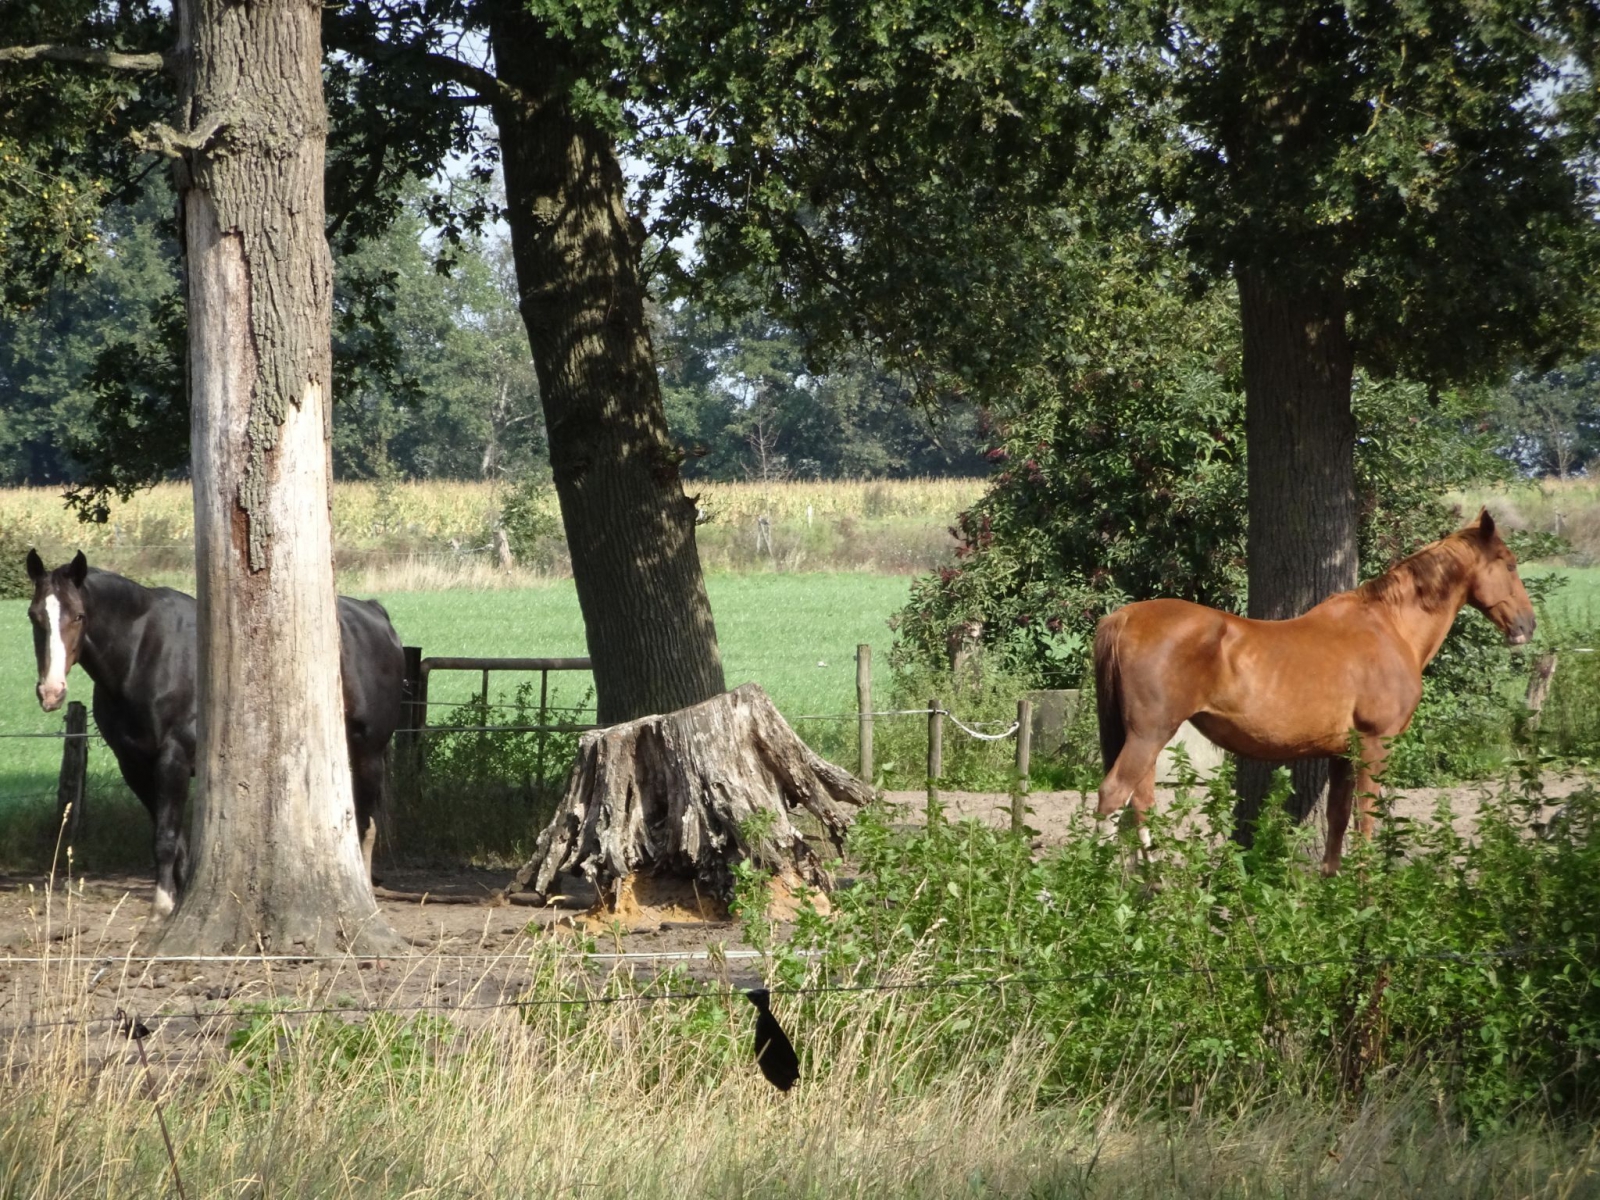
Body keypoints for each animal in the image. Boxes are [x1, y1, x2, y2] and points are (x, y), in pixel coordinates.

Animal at [24, 550, 405, 915]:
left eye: (78, 616)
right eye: (34, 616)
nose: (51, 691)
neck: (142, 655)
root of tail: (375, 615)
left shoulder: (173, 759)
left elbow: (165, 838)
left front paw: (160, 908)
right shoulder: (134, 766)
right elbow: (174, 840)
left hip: (368, 754)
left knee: (366, 825)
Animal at [1093, 510, 1537, 873]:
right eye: (1510, 564)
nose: (1527, 626)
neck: (1389, 627)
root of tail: (1124, 616)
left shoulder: (1342, 752)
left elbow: (1338, 819)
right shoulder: (1375, 744)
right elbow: (1366, 819)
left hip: (1145, 739)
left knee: (1141, 802)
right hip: (1149, 734)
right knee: (1115, 795)